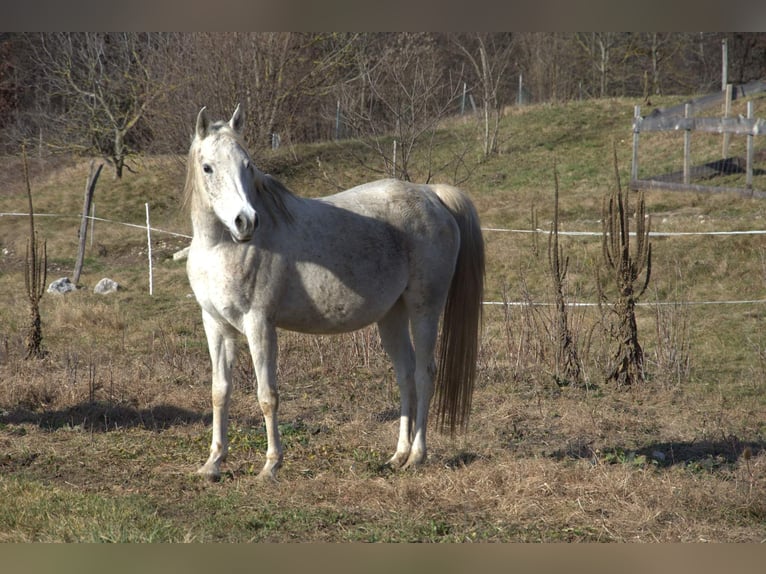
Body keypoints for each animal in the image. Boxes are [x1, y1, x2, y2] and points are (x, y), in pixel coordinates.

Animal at [186, 106, 486, 484]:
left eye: (247, 165)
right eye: (208, 167)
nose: (246, 222)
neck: (219, 247)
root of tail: (431, 194)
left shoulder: (259, 324)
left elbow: (267, 395)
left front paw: (271, 465)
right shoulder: (216, 325)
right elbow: (219, 392)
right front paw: (213, 463)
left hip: (425, 309)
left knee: (423, 372)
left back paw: (417, 455)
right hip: (393, 315)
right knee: (405, 375)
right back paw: (397, 456)